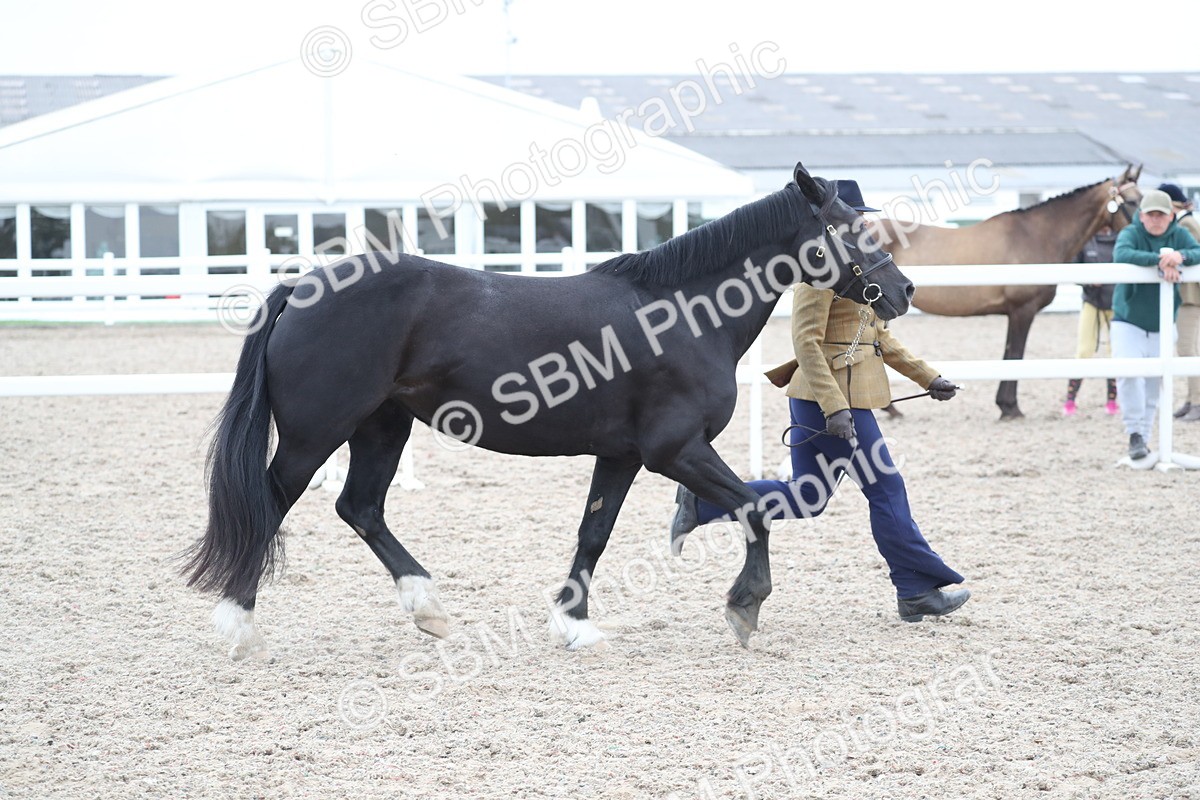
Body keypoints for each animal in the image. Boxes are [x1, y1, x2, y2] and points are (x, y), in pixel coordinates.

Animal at [182, 163, 916, 659]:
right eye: (848, 228)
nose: (904, 290)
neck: (683, 315)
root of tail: (302, 286)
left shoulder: (622, 456)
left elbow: (594, 533)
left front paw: (576, 624)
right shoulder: (676, 451)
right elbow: (756, 509)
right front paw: (744, 607)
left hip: (382, 426)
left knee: (359, 507)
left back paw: (430, 610)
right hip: (316, 434)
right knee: (269, 507)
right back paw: (239, 627)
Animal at [871, 165, 1143, 419]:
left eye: (1141, 197)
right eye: (1131, 201)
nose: (1146, 231)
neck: (1036, 236)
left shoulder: (1013, 312)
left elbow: (1008, 355)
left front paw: (1004, 405)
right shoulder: (1023, 310)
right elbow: (1015, 357)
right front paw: (1011, 408)